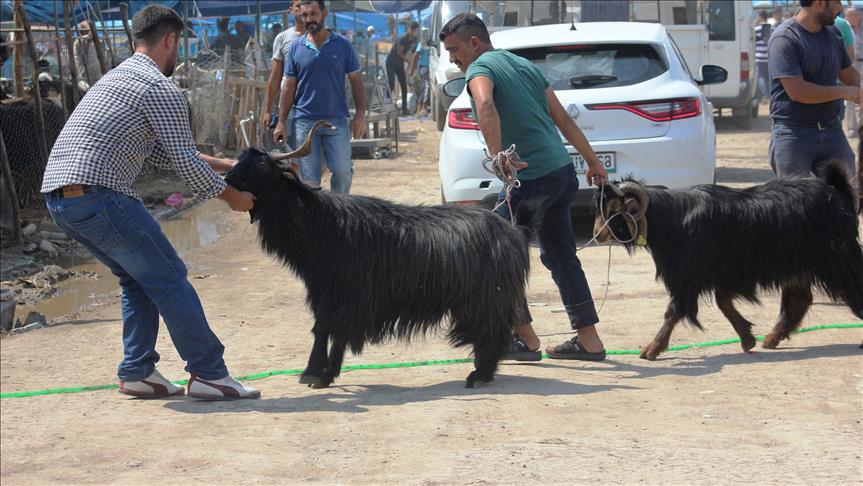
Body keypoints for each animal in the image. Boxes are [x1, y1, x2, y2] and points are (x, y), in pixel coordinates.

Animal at [223, 120, 532, 388]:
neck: (322, 223)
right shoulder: (337, 294)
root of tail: (512, 233)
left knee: (493, 331)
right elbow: (334, 331)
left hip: (486, 297)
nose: (228, 177)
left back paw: (480, 374)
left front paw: (314, 373)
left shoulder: (341, 294)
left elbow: (324, 328)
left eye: (261, 163)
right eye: (240, 158)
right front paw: (327, 373)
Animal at [592, 163, 863, 360]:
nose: (597, 234)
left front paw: (652, 349)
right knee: (799, 300)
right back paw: (772, 338)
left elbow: (674, 312)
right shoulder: (721, 273)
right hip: (799, 264)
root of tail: (837, 192)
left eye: (614, 209)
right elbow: (723, 302)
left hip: (839, 260)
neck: (673, 219)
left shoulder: (689, 277)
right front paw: (747, 338)